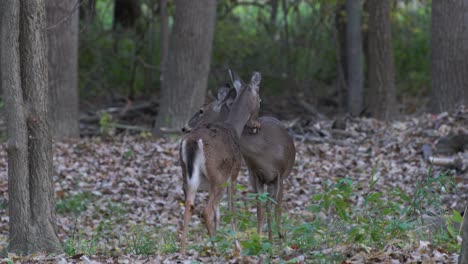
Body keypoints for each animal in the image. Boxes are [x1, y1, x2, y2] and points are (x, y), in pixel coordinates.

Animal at [178, 71, 262, 253]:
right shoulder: (233, 175)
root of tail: (192, 142)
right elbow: (231, 210)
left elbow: (219, 214)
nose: (256, 125)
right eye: (260, 101)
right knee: (206, 211)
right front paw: (237, 246)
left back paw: (183, 250)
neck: (234, 127)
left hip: (188, 176)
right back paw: (214, 249)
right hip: (218, 176)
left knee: (189, 205)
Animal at [184, 70, 296, 243]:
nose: (185, 127)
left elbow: (273, 208)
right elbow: (252, 210)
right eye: (260, 100)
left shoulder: (279, 175)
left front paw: (275, 239)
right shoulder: (250, 175)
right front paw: (260, 239)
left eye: (201, 110)